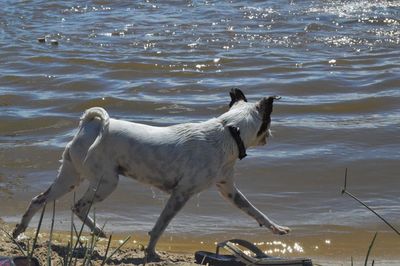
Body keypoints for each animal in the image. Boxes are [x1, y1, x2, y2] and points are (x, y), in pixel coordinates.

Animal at [11, 88, 288, 258]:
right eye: (269, 124)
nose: (272, 136)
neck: (229, 131)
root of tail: (89, 126)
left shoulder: (228, 190)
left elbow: (254, 211)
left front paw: (276, 228)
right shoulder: (181, 194)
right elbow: (160, 226)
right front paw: (152, 252)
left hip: (69, 177)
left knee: (39, 200)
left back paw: (19, 231)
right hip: (106, 182)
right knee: (78, 207)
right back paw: (95, 231)